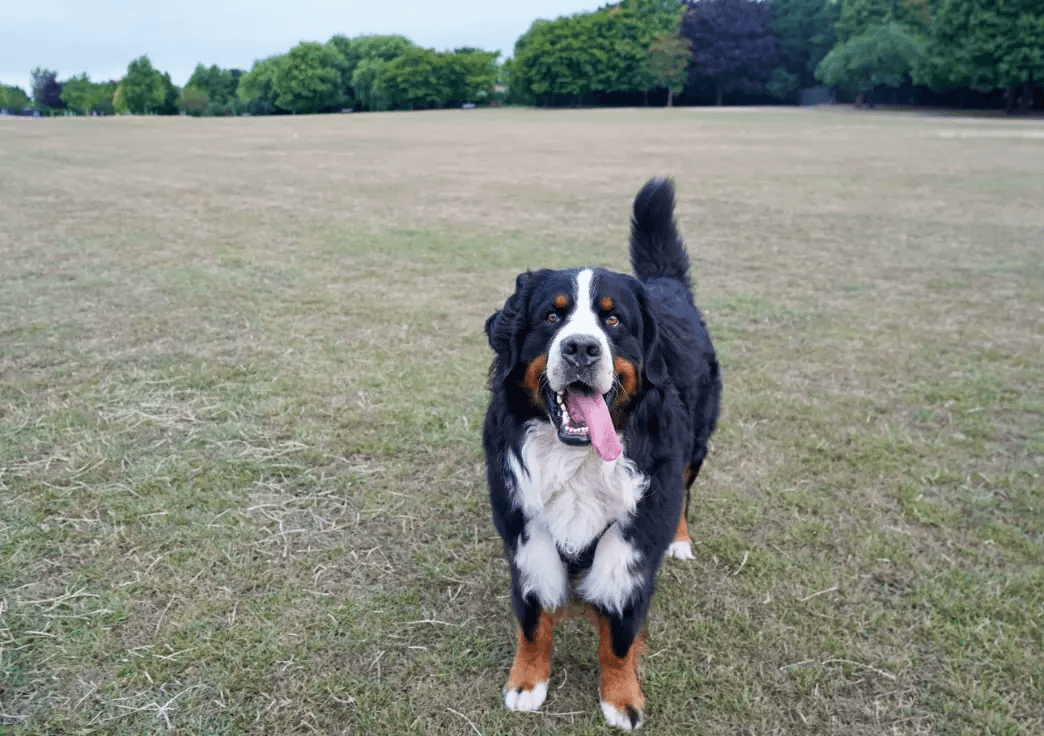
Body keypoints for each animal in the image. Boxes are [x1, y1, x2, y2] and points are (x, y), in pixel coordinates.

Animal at [482, 177, 722, 730]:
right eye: (552, 316)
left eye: (613, 321)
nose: (581, 349)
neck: (577, 460)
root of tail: (667, 285)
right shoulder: (527, 527)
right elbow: (533, 618)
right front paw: (527, 683)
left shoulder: (632, 536)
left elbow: (619, 633)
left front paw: (621, 699)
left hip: (695, 450)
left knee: (685, 495)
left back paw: (680, 541)